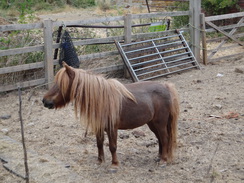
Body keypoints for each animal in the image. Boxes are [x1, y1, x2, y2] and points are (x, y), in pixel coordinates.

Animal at [42, 62, 179, 172]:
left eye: (61, 84)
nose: (45, 101)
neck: (101, 99)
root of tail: (166, 87)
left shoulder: (112, 128)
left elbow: (112, 147)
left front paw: (114, 165)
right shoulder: (99, 127)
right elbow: (99, 144)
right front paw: (100, 161)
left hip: (160, 123)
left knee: (165, 139)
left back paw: (163, 160)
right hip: (152, 124)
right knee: (160, 139)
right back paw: (159, 157)